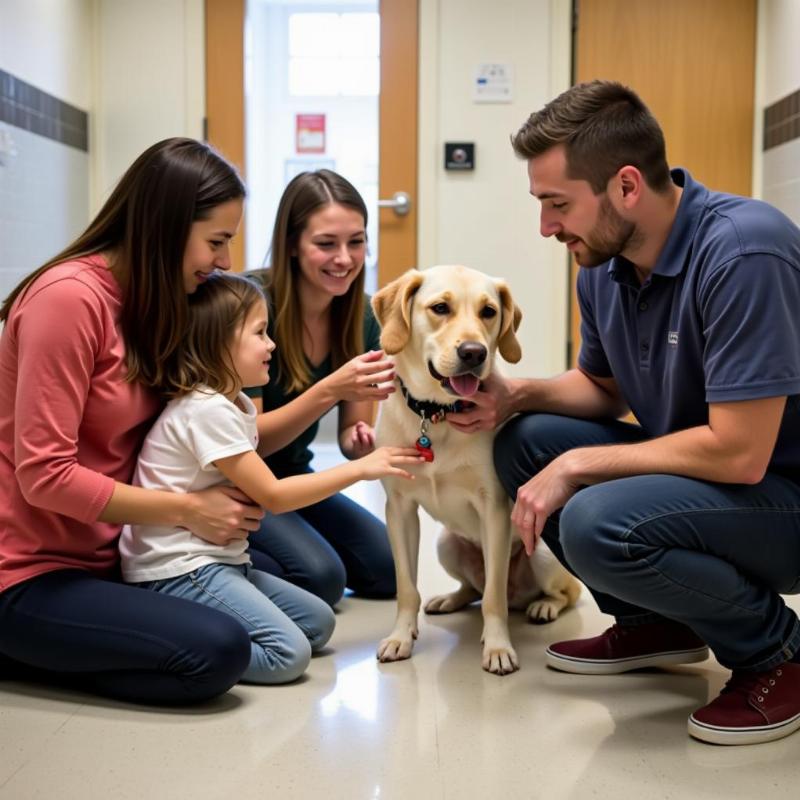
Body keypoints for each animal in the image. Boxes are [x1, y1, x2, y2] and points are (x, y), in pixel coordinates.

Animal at [372, 268, 580, 676]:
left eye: (488, 312)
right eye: (440, 308)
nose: (473, 352)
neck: (436, 414)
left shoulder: (494, 510)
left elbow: (493, 599)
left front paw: (498, 647)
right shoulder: (399, 509)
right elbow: (407, 588)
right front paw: (402, 637)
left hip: (543, 554)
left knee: (558, 593)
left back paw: (543, 606)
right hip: (446, 544)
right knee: (473, 590)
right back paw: (449, 600)